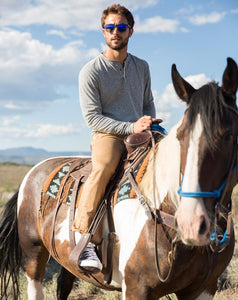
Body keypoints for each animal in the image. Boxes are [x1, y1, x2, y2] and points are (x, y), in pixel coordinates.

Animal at [0, 56, 237, 300]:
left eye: (229, 135)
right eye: (180, 136)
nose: (191, 223)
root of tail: (33, 172)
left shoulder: (204, 287)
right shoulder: (136, 288)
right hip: (34, 253)